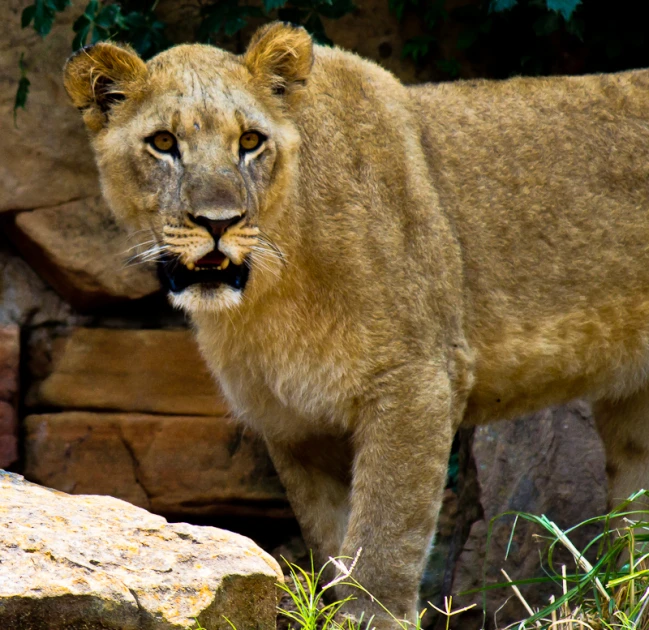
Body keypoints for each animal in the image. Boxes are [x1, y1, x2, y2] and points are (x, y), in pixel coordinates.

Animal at [62, 22, 649, 628]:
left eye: (250, 141)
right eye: (162, 142)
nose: (218, 223)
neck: (270, 295)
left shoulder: (418, 379)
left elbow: (385, 531)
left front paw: (373, 612)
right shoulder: (293, 422)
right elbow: (332, 540)